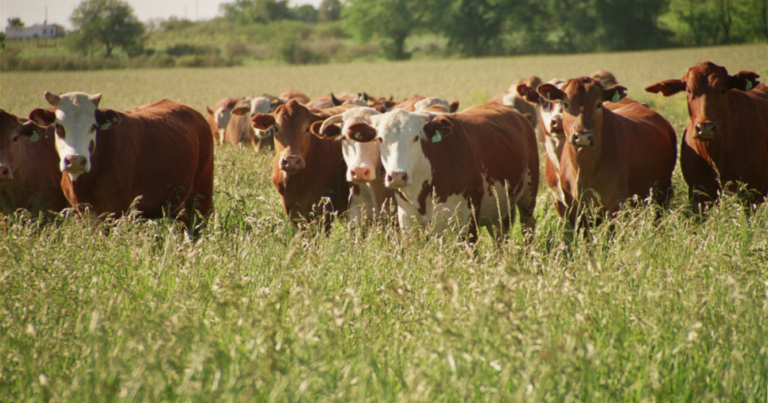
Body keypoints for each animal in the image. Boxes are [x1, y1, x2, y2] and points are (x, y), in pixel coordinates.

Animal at [28, 92, 213, 229]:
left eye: (93, 126)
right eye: (58, 126)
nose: (75, 160)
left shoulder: (114, 213)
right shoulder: (84, 213)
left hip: (201, 195)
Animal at [536, 77, 676, 229]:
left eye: (598, 104)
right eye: (565, 104)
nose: (582, 136)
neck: (583, 167)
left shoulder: (615, 205)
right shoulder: (572, 210)